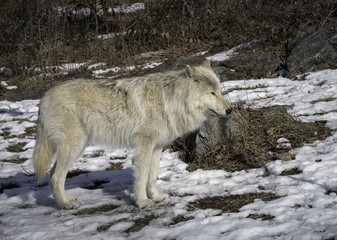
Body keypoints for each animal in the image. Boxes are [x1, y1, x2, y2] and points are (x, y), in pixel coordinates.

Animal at [33, 60, 231, 210]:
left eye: (220, 92)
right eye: (212, 93)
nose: (230, 110)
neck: (171, 100)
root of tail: (43, 98)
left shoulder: (157, 147)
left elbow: (152, 177)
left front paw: (156, 197)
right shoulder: (145, 145)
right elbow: (142, 177)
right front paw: (143, 202)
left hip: (76, 147)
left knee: (51, 174)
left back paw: (65, 201)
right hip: (74, 146)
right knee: (56, 177)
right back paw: (66, 205)